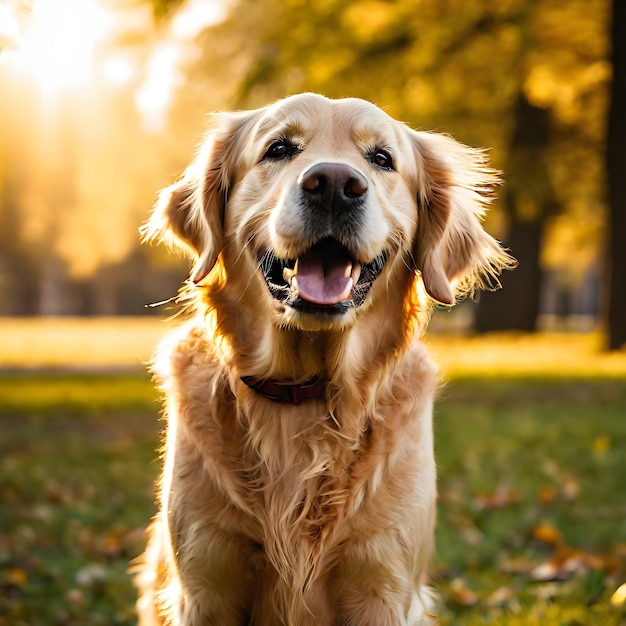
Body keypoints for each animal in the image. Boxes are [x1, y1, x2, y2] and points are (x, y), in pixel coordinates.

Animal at [134, 94, 510, 624]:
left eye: (381, 159)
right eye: (278, 148)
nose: (334, 185)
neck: (304, 391)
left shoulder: (382, 582)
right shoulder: (206, 583)